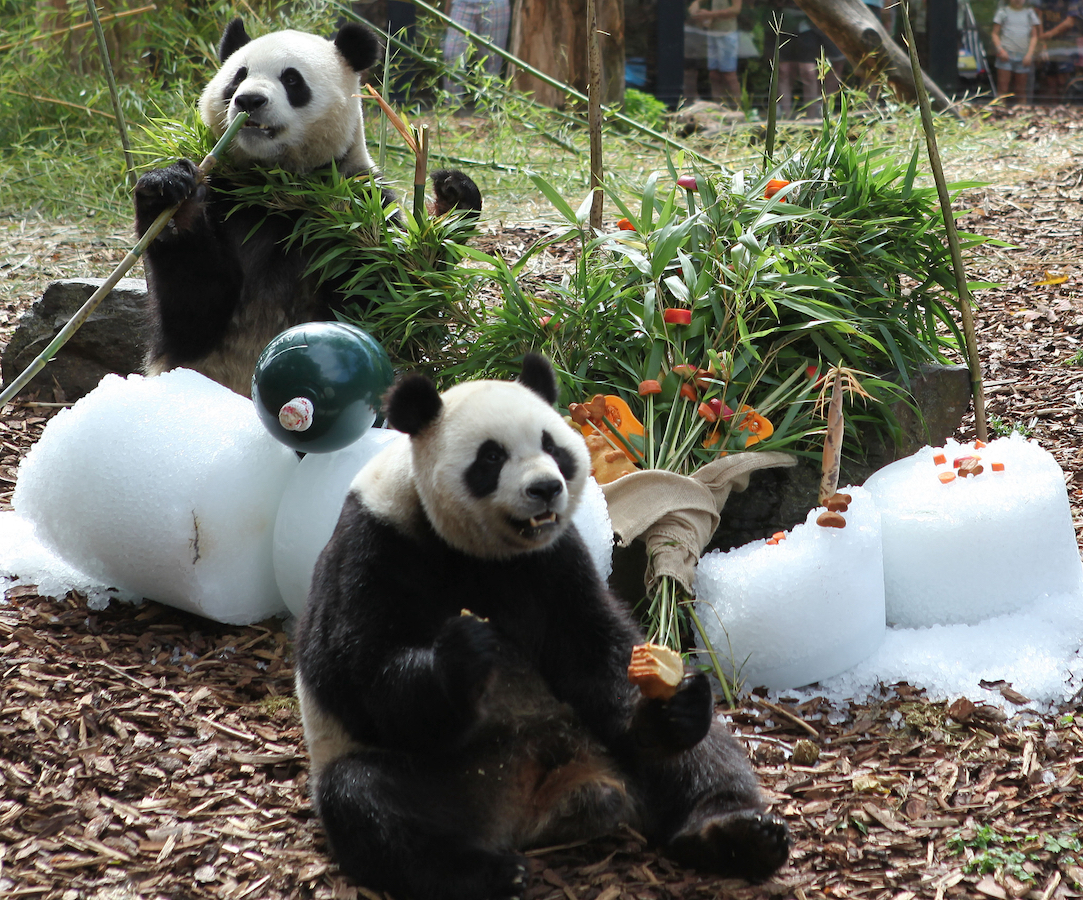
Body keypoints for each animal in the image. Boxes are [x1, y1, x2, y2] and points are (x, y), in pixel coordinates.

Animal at [133, 17, 480, 396]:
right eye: (238, 76)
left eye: (291, 79)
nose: (249, 100)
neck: (276, 190)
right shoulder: (228, 198)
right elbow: (193, 307)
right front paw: (169, 196)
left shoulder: (360, 209)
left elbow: (398, 302)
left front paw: (452, 198)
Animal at [292, 353, 792, 900]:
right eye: (491, 458)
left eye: (552, 446)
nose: (546, 488)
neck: (477, 549)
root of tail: (536, 806)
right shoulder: (376, 544)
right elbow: (354, 674)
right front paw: (463, 654)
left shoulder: (552, 559)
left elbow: (592, 646)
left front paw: (665, 712)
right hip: (446, 774)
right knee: (367, 801)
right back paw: (486, 872)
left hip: (595, 736)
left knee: (704, 755)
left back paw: (735, 830)